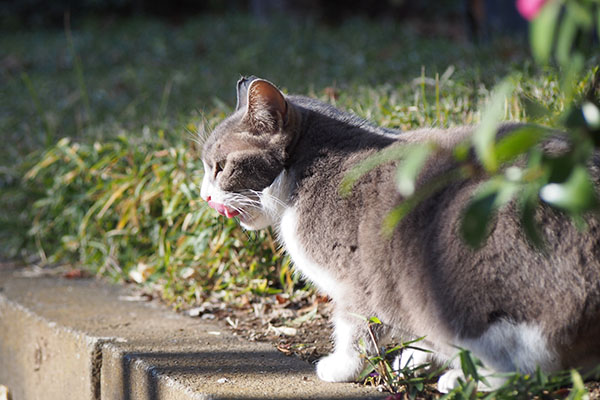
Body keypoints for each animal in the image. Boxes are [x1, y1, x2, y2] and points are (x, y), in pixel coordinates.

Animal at [202, 76, 600, 394]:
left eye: (221, 167)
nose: (204, 196)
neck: (302, 174)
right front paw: (414, 359)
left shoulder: (355, 278)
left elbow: (353, 328)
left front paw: (342, 367)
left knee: (536, 361)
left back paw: (471, 378)